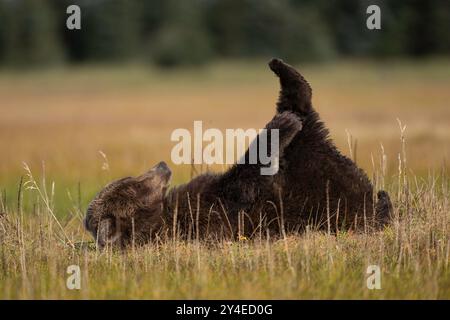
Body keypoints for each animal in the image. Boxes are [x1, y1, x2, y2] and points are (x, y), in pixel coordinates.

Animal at [83, 58, 390, 248]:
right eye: (134, 184)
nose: (161, 166)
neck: (163, 214)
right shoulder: (211, 215)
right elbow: (243, 182)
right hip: (325, 182)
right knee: (304, 126)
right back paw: (287, 118)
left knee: (299, 109)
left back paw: (281, 71)